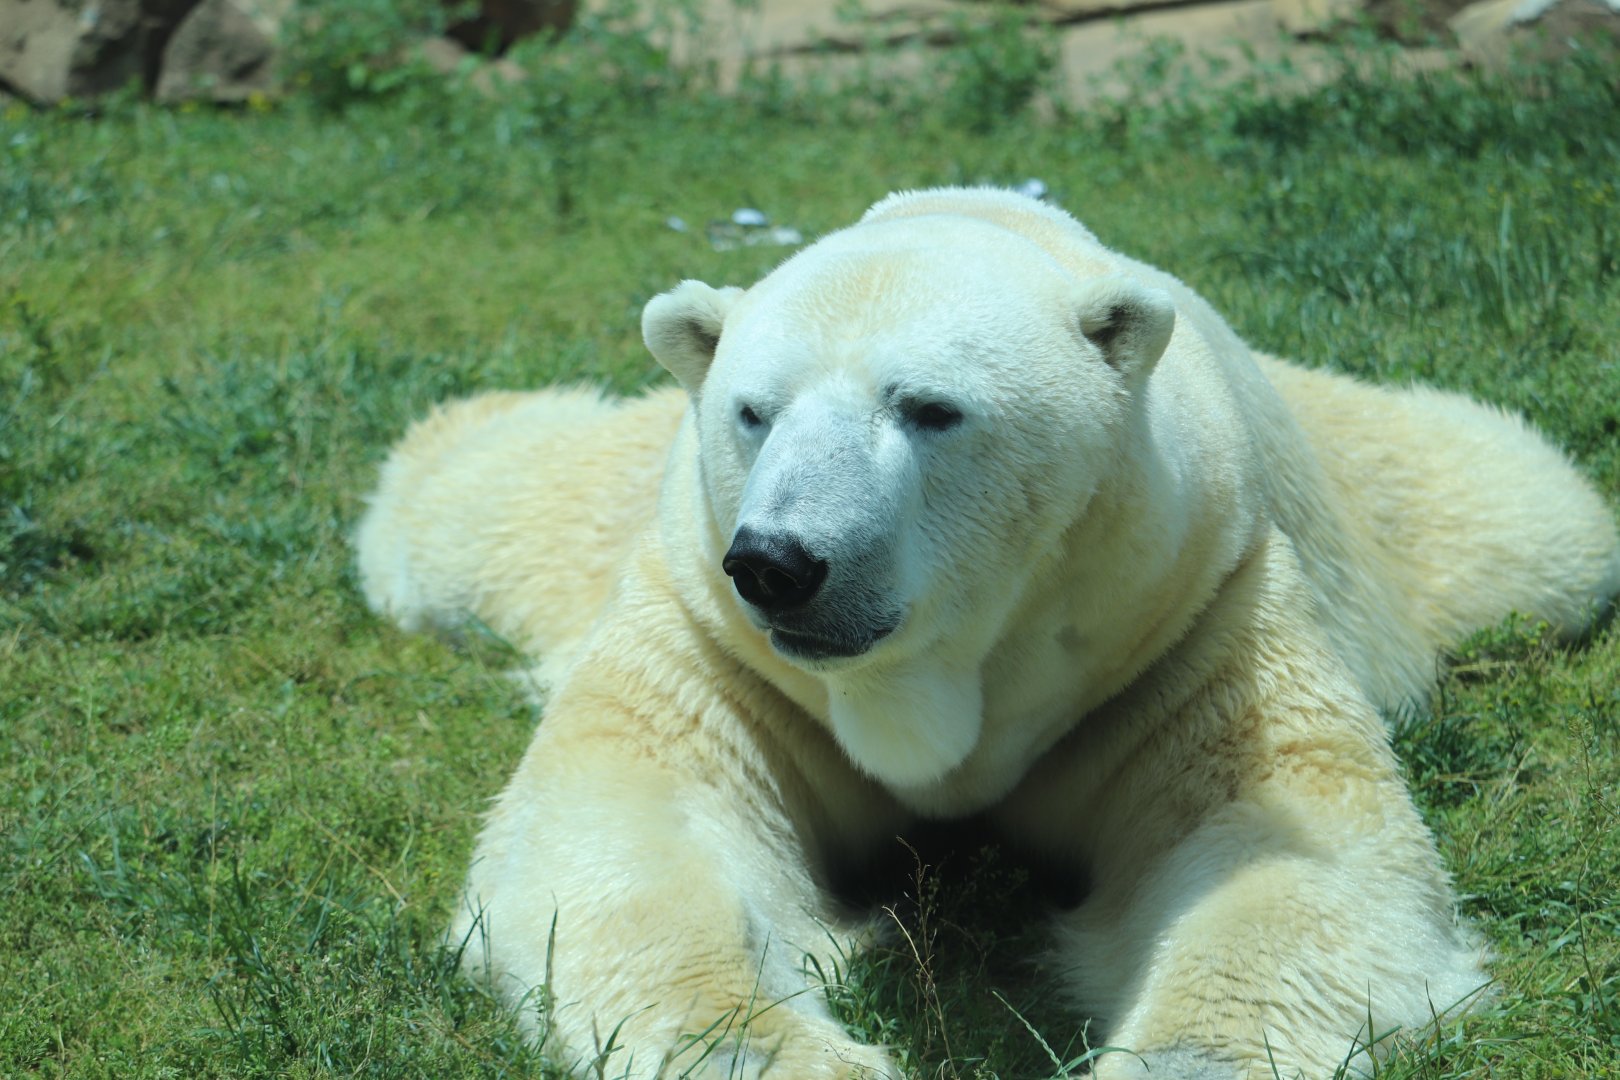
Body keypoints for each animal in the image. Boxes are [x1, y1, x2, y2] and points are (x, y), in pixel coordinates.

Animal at [354, 187, 1620, 1079]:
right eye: (753, 410)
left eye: (929, 408)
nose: (779, 564)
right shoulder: (717, 645)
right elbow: (636, 831)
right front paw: (778, 1051)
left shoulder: (1190, 617)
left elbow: (1286, 857)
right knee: (467, 488)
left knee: (1528, 506)